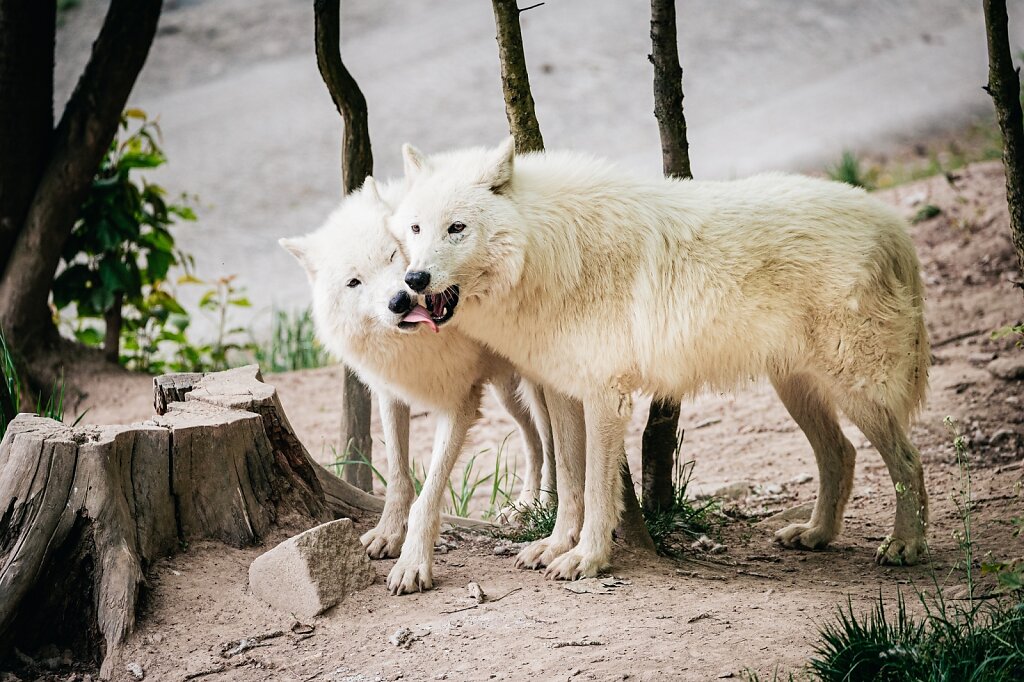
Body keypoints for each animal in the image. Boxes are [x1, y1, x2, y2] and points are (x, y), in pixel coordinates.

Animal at [280, 179, 585, 589]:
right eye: (354, 282)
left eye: (393, 255)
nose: (400, 300)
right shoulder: (392, 392)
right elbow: (398, 475)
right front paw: (387, 535)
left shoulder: (459, 405)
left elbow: (427, 496)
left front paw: (412, 565)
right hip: (506, 394)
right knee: (535, 439)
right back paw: (526, 506)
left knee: (550, 441)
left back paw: (544, 508)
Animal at [393, 138, 937, 577]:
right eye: (416, 228)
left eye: (457, 228)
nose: (414, 280)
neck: (547, 251)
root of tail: (891, 223)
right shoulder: (565, 394)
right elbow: (569, 480)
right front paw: (554, 546)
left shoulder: (605, 397)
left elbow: (596, 490)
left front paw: (586, 558)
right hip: (795, 389)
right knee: (840, 453)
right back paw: (817, 534)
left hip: (857, 390)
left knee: (909, 462)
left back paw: (904, 545)